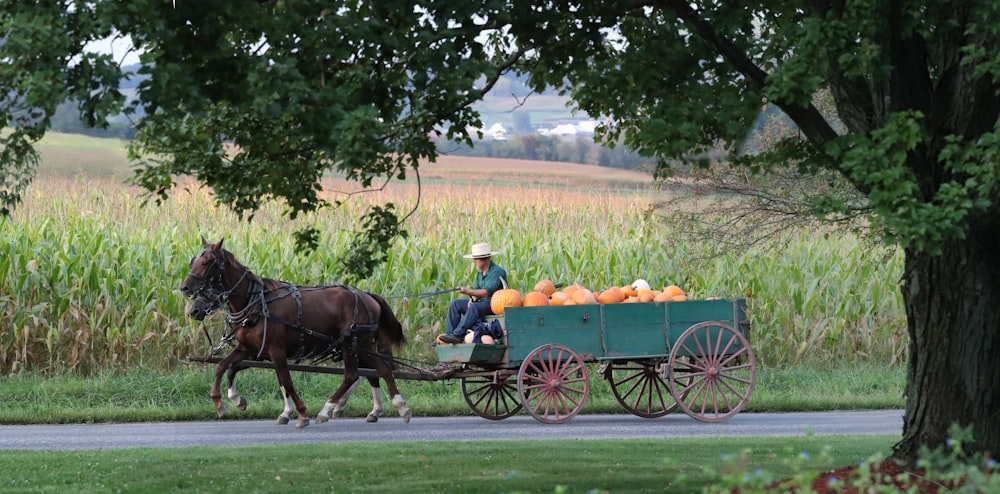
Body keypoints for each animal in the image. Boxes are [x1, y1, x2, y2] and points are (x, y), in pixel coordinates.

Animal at [180, 237, 410, 426]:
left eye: (206, 262)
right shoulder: (251, 349)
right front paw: (227, 402)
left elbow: (287, 381)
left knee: (355, 374)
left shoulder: (276, 350)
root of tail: (368, 295)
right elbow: (225, 367)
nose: (185, 289)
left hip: (353, 343)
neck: (256, 303)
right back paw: (392, 407)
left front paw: (301, 413)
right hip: (360, 345)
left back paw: (329, 409)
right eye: (193, 261)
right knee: (379, 369)